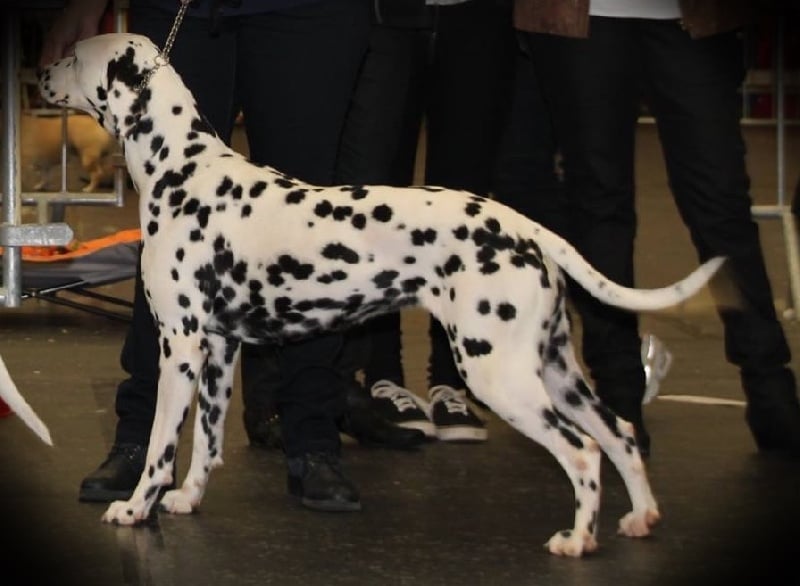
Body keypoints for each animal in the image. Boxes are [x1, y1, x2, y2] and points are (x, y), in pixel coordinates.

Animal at [38, 33, 724, 557]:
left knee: (583, 454)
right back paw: (639, 519)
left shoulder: (179, 348)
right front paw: (187, 498)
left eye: (73, 56)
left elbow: (160, 446)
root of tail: (523, 226)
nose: (38, 73)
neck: (182, 170)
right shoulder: (220, 351)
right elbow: (206, 442)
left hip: (500, 375)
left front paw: (137, 507)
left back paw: (577, 541)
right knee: (621, 435)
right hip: (555, 370)